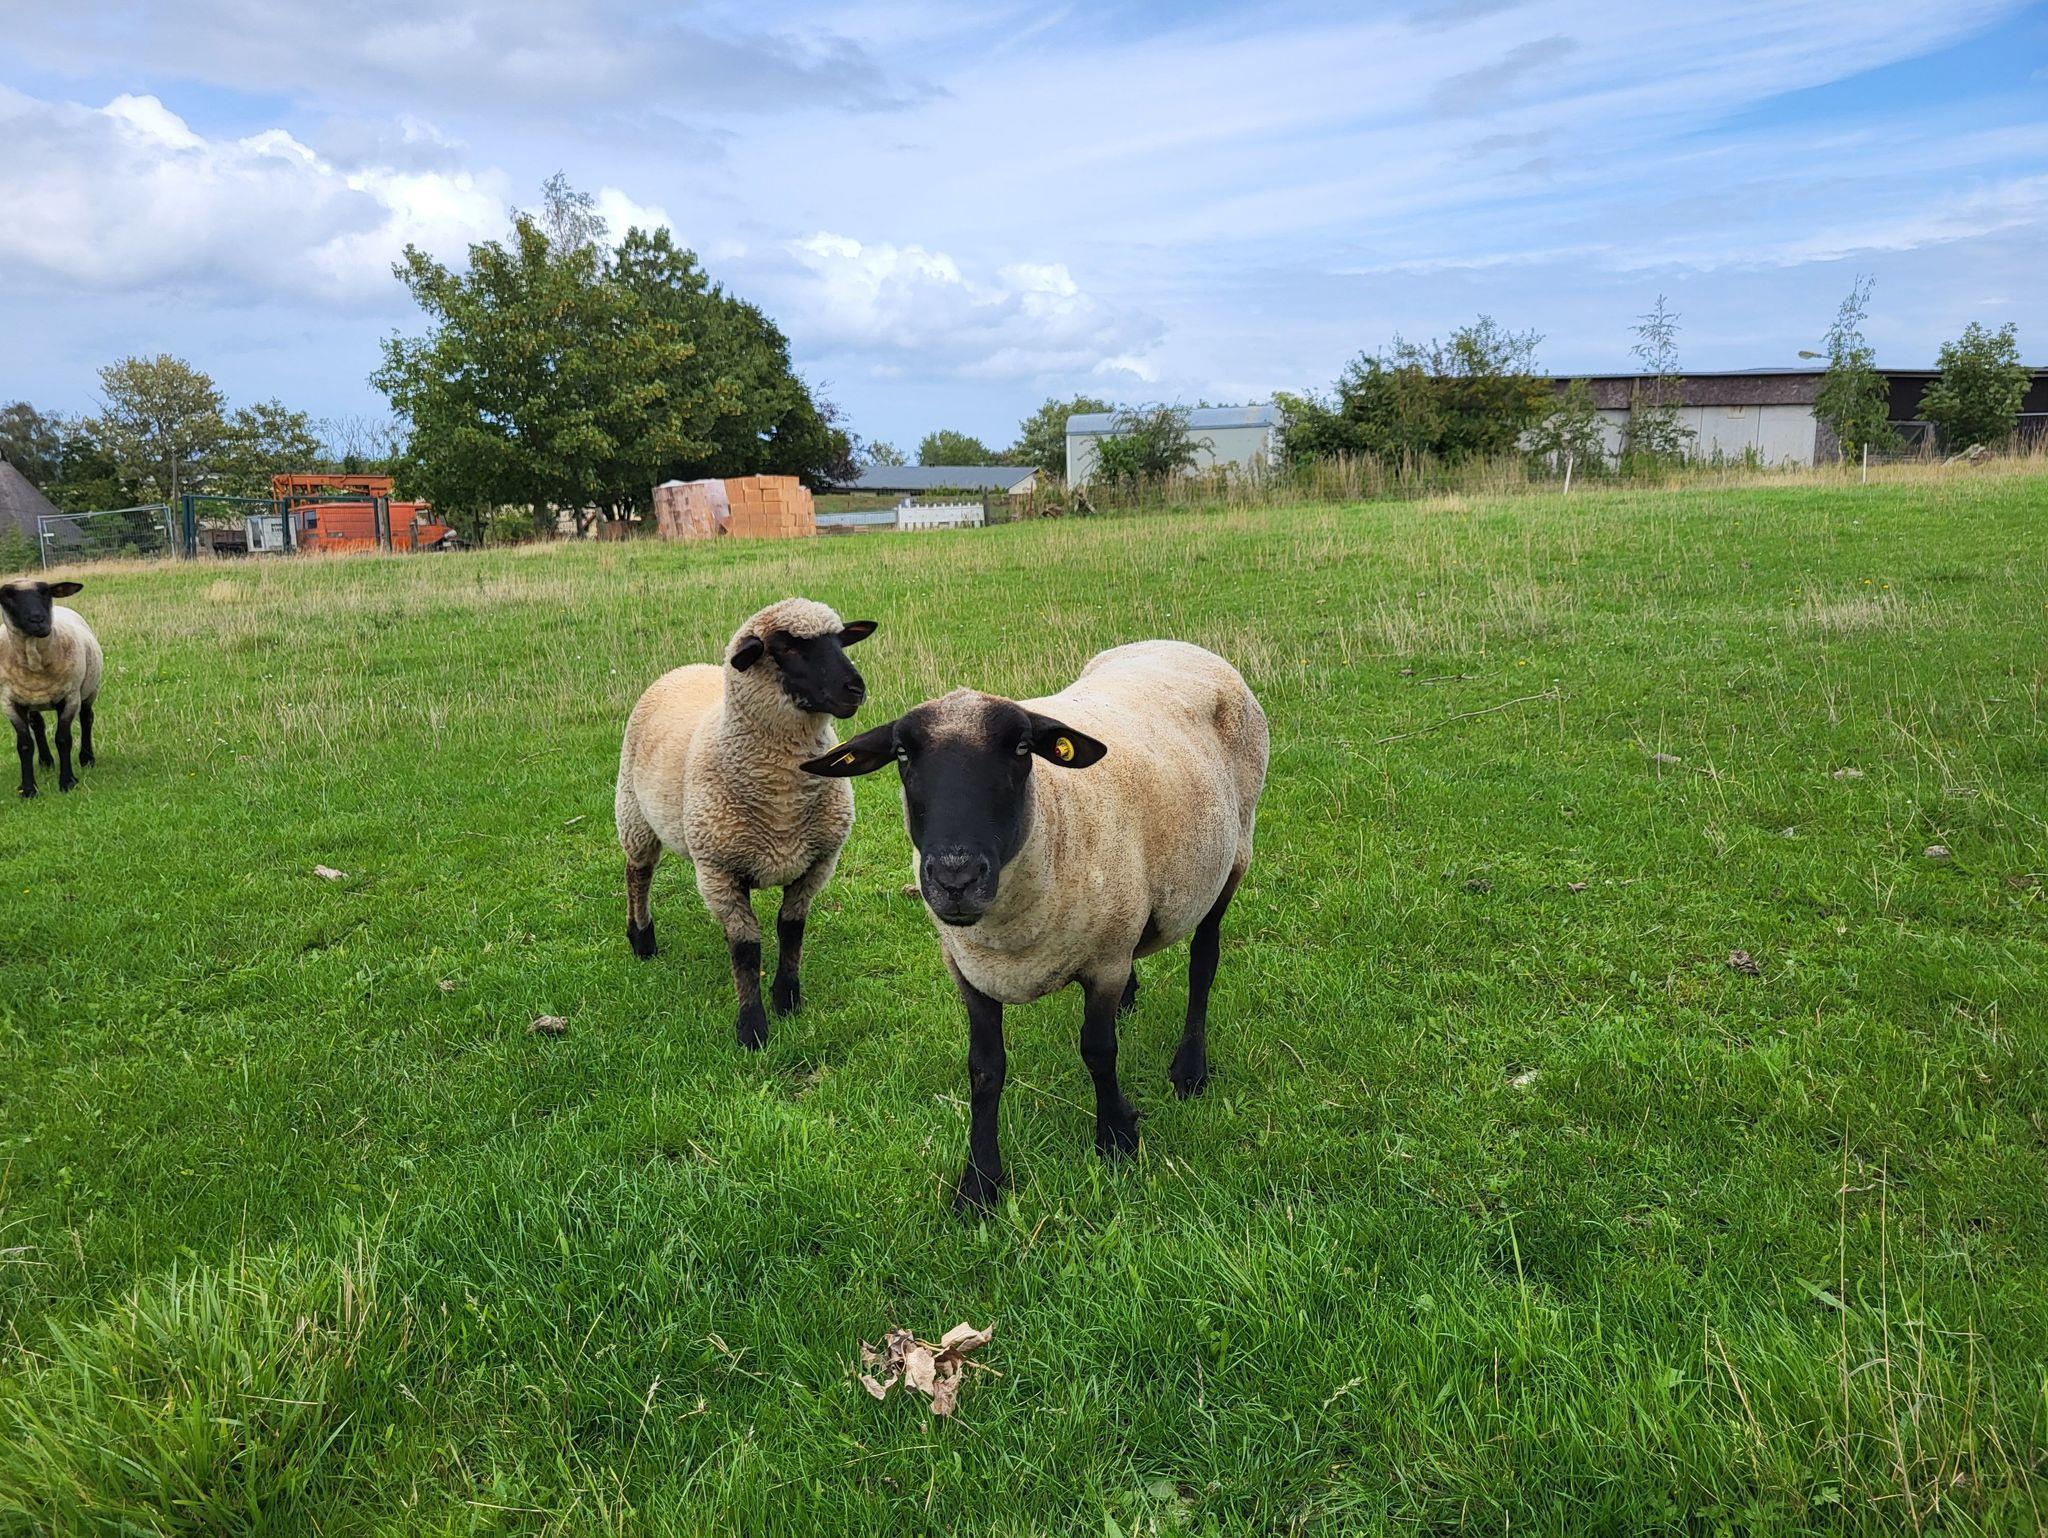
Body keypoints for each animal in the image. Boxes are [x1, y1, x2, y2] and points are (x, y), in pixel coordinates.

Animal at [1, 579, 103, 800]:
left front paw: (67, 782)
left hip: (89, 690)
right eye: (7, 597)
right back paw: (46, 762)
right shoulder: (9, 703)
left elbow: (63, 739)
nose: (38, 620)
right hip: (31, 699)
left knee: (87, 718)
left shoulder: (70, 697)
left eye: (47, 592)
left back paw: (87, 758)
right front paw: (28, 790)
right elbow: (24, 745)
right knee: (37, 724)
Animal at [616, 598, 878, 1048]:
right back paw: (642, 939)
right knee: (639, 875)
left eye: (841, 640)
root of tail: (683, 668)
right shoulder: (719, 871)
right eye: (786, 647)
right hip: (634, 814)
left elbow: (790, 929)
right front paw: (752, 1027)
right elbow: (745, 949)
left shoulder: (818, 864)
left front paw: (787, 999)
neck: (782, 802)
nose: (855, 689)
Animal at [802, 640, 1267, 1211]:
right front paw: (979, 1182)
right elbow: (984, 1069)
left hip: (1233, 855)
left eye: (1023, 748)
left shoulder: (1104, 961)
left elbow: (1099, 1050)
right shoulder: (968, 967)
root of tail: (1178, 643)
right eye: (903, 755)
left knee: (1204, 961)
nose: (955, 878)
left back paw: (1191, 1069)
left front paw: (1116, 1138)